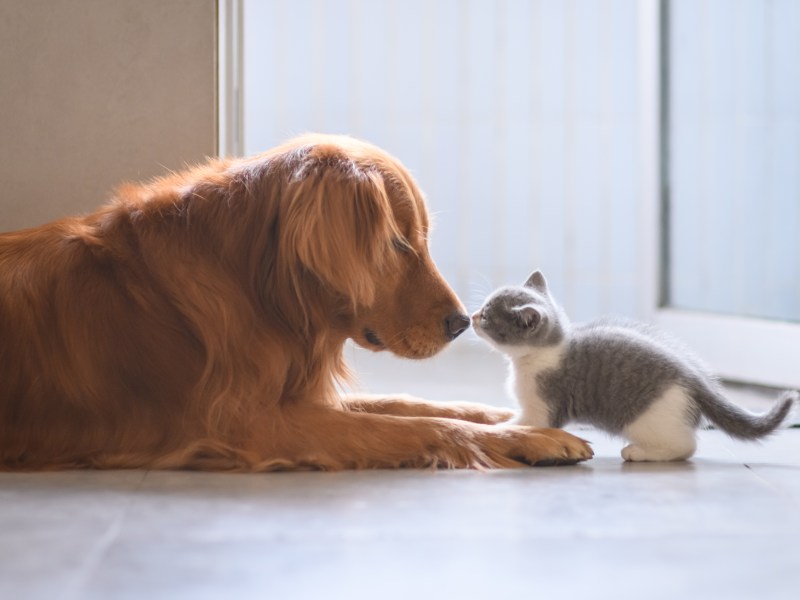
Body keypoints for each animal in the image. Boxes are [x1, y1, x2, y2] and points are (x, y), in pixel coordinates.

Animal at [0, 134, 588, 472]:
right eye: (398, 244)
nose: (462, 323)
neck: (257, 290)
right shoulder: (245, 423)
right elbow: (419, 426)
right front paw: (533, 438)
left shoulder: (296, 395)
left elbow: (413, 405)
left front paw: (511, 420)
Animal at [472, 270, 796, 462]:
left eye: (487, 315)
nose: (473, 316)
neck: (539, 354)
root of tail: (694, 378)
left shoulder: (544, 404)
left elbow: (526, 423)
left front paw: (497, 428)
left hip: (648, 417)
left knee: (685, 446)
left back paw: (639, 452)